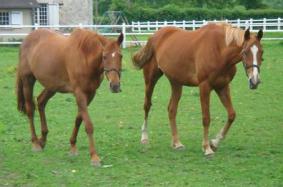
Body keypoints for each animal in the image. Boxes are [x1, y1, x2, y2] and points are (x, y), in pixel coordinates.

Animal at [17, 27, 123, 165]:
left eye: (121, 56)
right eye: (104, 57)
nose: (115, 86)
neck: (85, 57)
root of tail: (26, 40)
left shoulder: (90, 94)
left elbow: (79, 119)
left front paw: (73, 147)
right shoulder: (79, 93)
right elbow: (88, 125)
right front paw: (94, 157)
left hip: (52, 86)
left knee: (41, 102)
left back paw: (43, 140)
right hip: (28, 80)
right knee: (30, 109)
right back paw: (35, 143)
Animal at [133, 23, 264, 155]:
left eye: (261, 52)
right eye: (245, 52)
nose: (255, 81)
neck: (219, 50)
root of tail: (154, 36)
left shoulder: (222, 86)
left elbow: (231, 114)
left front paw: (214, 143)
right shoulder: (204, 86)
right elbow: (206, 118)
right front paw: (207, 148)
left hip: (176, 83)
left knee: (172, 110)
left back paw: (177, 143)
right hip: (150, 80)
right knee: (147, 105)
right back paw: (144, 137)